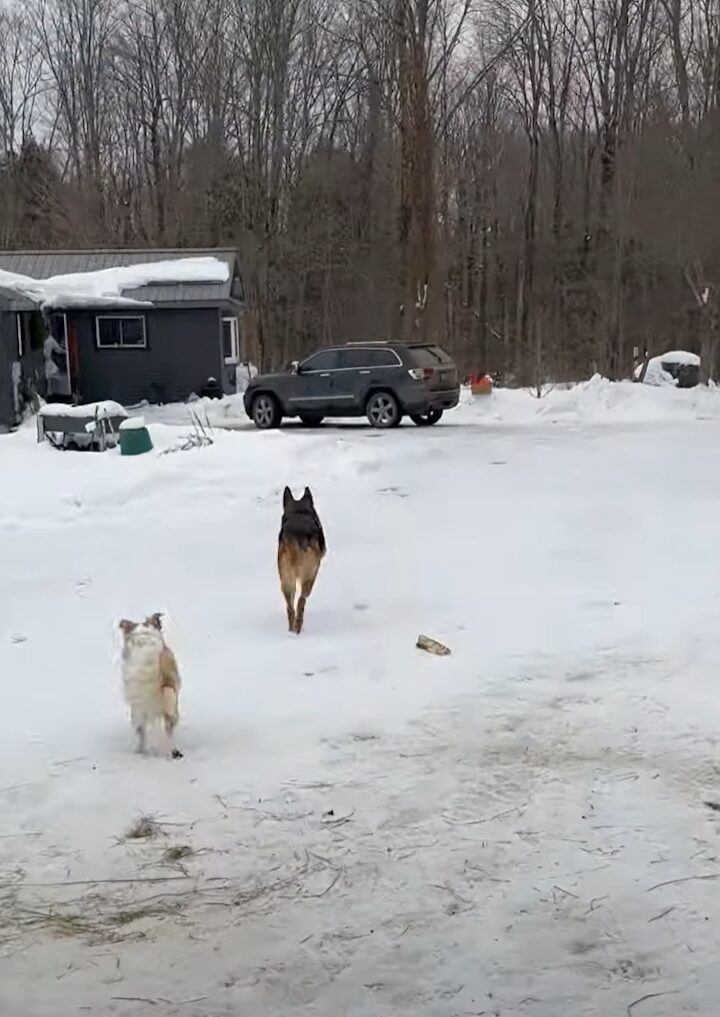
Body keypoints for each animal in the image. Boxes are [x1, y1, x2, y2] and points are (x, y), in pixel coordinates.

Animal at [117, 610, 183, 756]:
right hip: (169, 700)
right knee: (168, 728)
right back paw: (173, 751)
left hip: (136, 710)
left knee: (141, 732)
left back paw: (140, 751)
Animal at [278, 486, 325, 634]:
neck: (299, 511)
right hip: (309, 577)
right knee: (301, 601)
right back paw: (298, 627)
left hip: (285, 578)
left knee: (290, 607)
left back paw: (292, 629)